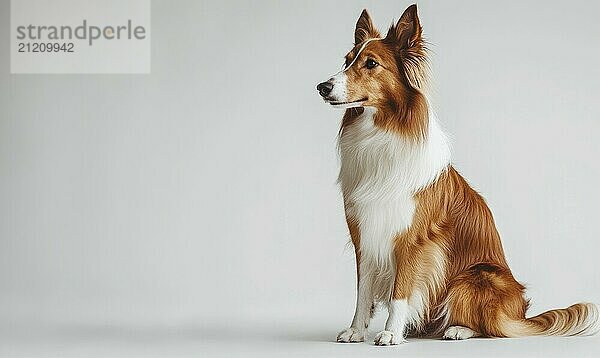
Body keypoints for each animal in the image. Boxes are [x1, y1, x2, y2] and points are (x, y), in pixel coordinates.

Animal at [316, 3, 596, 346]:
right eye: (347, 60)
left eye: (371, 63)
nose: (322, 87)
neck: (380, 133)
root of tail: (519, 312)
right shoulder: (365, 234)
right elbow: (363, 291)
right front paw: (357, 330)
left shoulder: (413, 240)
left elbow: (400, 292)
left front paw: (391, 333)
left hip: (473, 277)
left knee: (488, 326)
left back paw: (458, 329)